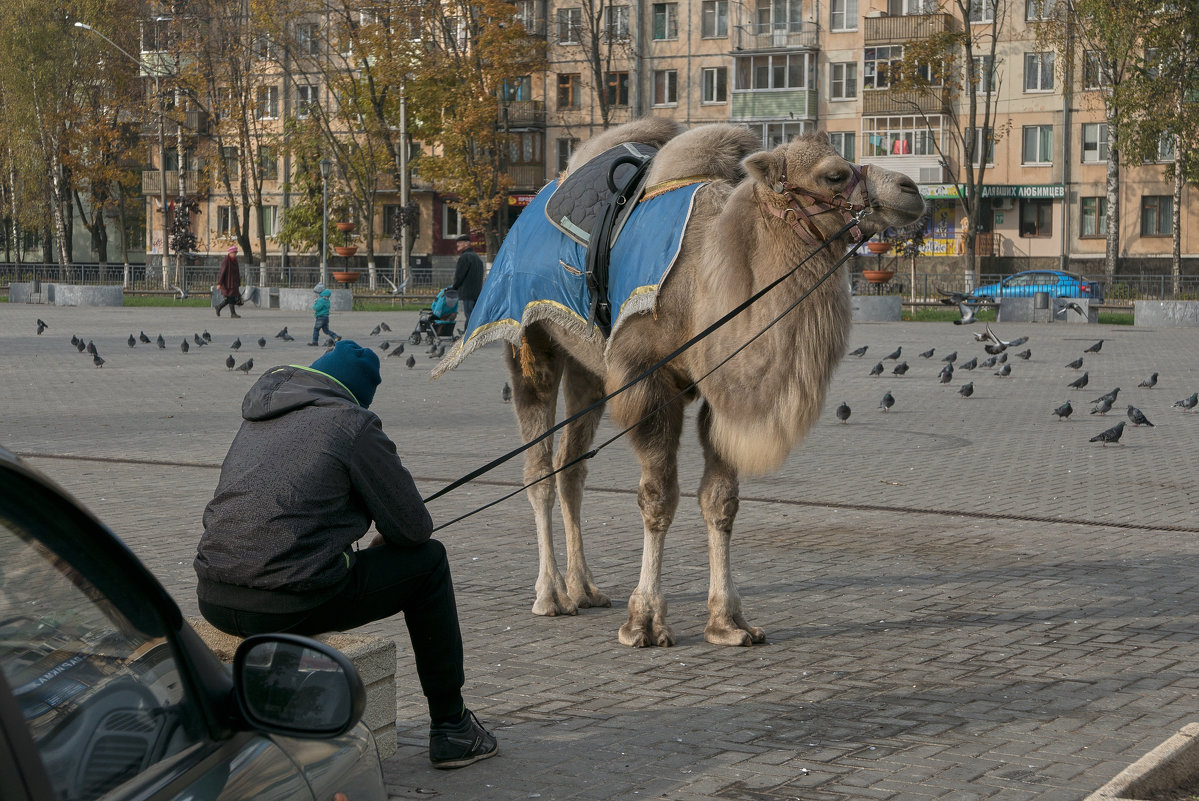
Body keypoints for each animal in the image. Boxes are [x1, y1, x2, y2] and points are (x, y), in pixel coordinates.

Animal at [436, 118, 920, 642]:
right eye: (834, 174)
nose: (911, 190)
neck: (702, 284)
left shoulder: (718, 390)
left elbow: (721, 501)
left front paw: (729, 621)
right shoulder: (645, 381)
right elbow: (658, 498)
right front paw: (645, 620)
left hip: (589, 368)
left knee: (571, 467)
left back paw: (584, 588)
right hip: (528, 339)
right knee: (538, 469)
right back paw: (550, 596)